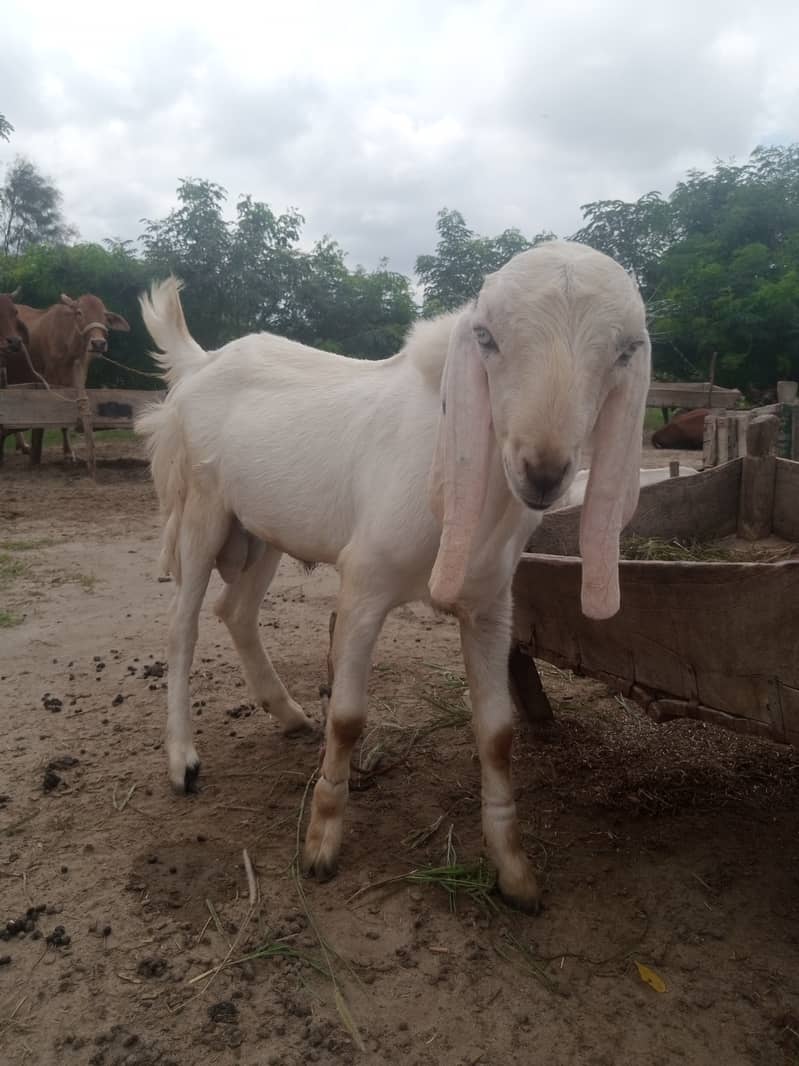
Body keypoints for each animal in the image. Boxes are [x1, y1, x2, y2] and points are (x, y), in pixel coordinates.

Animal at [136, 241, 651, 908]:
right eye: (486, 338)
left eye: (625, 351)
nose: (542, 471)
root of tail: (201, 360)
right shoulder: (365, 581)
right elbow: (349, 717)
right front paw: (321, 845)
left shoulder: (491, 603)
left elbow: (497, 733)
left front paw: (515, 871)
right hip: (200, 508)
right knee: (183, 625)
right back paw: (183, 761)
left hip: (266, 529)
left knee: (236, 611)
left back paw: (289, 715)